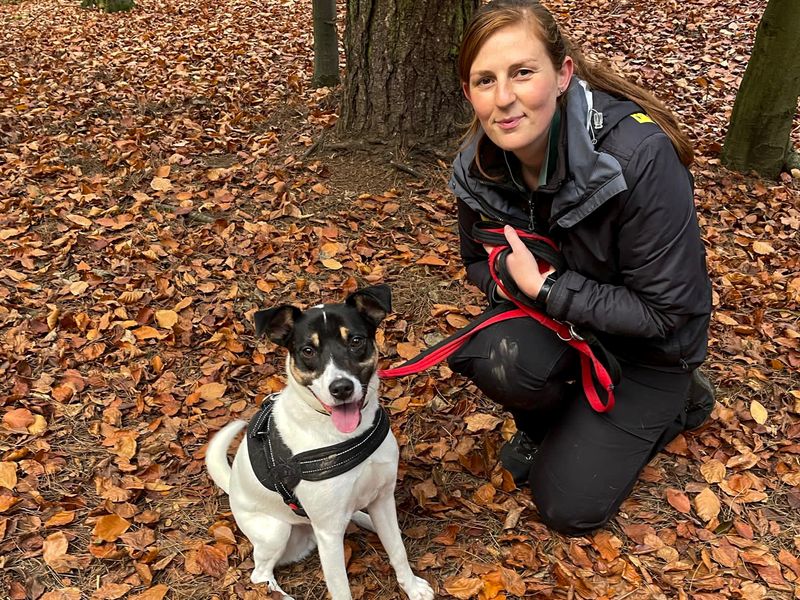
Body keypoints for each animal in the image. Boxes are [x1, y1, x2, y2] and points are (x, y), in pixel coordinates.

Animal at [203, 286, 434, 600]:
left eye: (356, 341)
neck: (344, 436)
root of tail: (232, 486)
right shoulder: (328, 534)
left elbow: (397, 550)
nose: (341, 388)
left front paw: (411, 587)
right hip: (276, 532)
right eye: (308, 351)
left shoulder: (384, 498)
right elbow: (341, 589)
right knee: (260, 575)